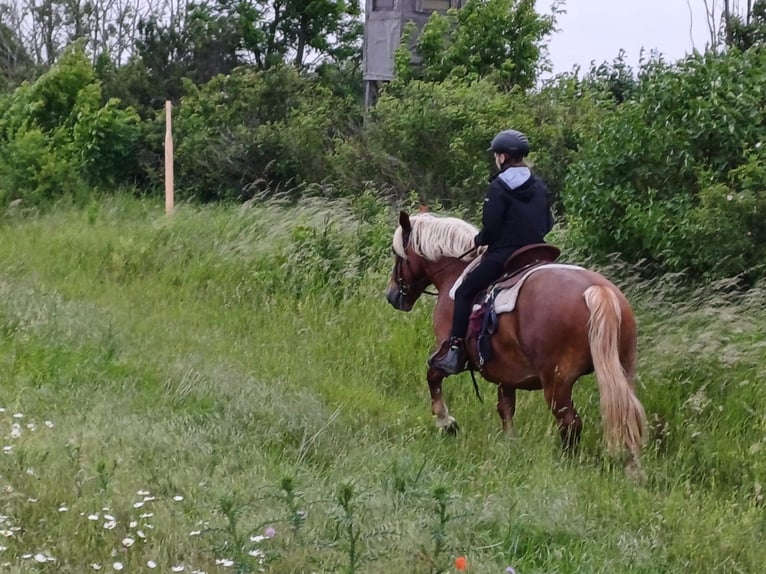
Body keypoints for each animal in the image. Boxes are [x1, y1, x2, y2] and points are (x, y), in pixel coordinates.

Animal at [384, 212, 648, 472]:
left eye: (398, 255)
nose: (392, 296)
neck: (455, 272)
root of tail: (598, 290)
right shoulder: (505, 371)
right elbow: (506, 407)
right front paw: (509, 444)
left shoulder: (446, 348)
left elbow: (433, 376)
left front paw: (446, 422)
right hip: (622, 371)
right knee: (628, 416)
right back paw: (633, 469)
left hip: (557, 382)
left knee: (570, 422)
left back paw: (565, 464)